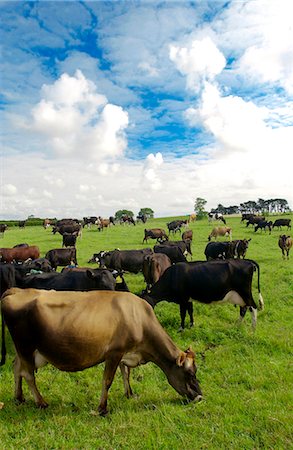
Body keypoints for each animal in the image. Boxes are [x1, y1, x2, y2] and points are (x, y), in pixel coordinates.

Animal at [0, 288, 201, 414]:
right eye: (190, 374)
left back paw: (19, 398)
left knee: (16, 368)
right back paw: (41, 402)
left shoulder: (125, 353)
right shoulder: (114, 353)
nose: (200, 396)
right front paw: (102, 408)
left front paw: (129, 394)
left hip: (23, 350)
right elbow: (107, 380)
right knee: (28, 374)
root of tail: (17, 290)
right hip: (26, 346)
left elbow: (126, 374)